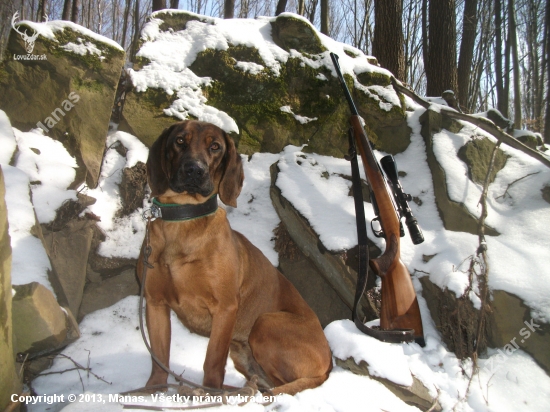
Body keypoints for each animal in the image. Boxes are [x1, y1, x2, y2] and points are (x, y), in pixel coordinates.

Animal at [138, 120, 334, 394]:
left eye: (215, 146)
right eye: (179, 140)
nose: (194, 170)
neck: (184, 219)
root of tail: (329, 365)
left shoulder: (225, 307)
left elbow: (212, 361)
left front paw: (208, 392)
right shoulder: (155, 302)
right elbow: (159, 357)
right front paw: (153, 390)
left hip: (265, 324)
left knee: (288, 387)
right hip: (242, 351)